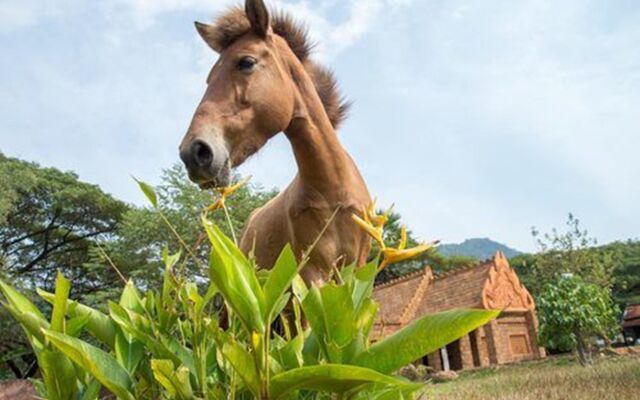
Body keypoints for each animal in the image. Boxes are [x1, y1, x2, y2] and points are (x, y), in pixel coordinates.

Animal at [179, 0, 370, 284]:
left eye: (246, 62)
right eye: (208, 78)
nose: (193, 153)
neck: (333, 190)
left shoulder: (358, 270)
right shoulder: (312, 270)